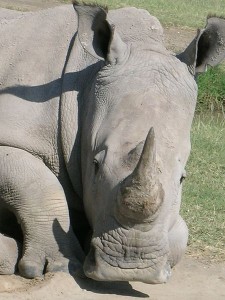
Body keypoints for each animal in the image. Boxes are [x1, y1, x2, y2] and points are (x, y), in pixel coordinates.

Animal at [0, 2, 225, 284]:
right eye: (96, 164)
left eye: (183, 178)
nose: (128, 266)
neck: (87, 83)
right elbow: (38, 184)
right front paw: (60, 266)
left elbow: (180, 235)